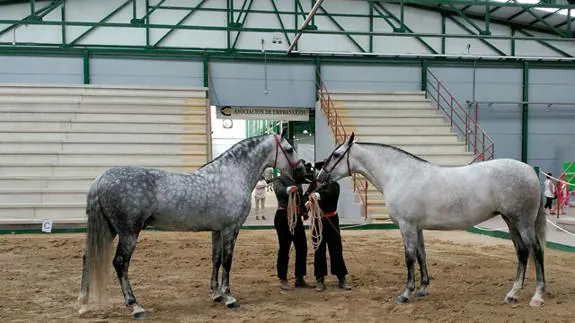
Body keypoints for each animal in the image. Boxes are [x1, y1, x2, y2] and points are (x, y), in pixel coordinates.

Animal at [79, 130, 308, 320]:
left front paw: (216, 294)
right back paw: (135, 306)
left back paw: (83, 303)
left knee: (88, 257)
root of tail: (101, 178)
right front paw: (229, 298)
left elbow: (216, 260)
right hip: (128, 233)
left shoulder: (217, 231)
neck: (233, 175)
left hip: (110, 230)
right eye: (289, 149)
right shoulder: (230, 229)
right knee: (119, 264)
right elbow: (227, 262)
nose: (303, 172)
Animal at [318, 134, 548, 308]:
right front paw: (422, 289)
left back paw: (537, 296)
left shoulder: (407, 226)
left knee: (536, 251)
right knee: (522, 252)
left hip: (523, 222)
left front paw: (405, 294)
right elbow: (422, 255)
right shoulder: (417, 227)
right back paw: (513, 293)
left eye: (336, 155)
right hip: (510, 220)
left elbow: (409, 258)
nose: (320, 178)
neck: (399, 175)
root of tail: (530, 171)